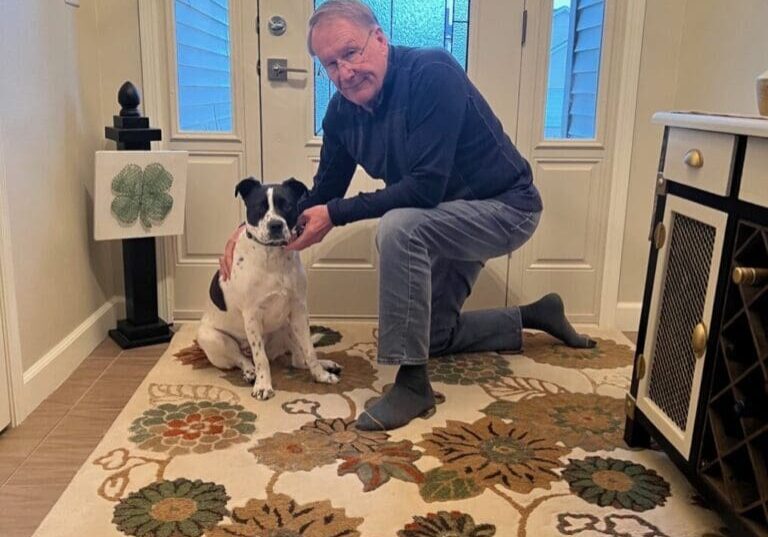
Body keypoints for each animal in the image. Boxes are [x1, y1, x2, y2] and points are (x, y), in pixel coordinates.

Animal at [198, 178, 342, 400]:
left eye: (287, 206)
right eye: (260, 207)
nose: (276, 225)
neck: (273, 256)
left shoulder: (299, 310)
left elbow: (310, 350)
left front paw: (321, 375)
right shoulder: (252, 316)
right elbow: (261, 358)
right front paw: (263, 385)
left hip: (288, 326)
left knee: (299, 359)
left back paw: (325, 364)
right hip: (212, 338)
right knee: (242, 359)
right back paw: (250, 372)